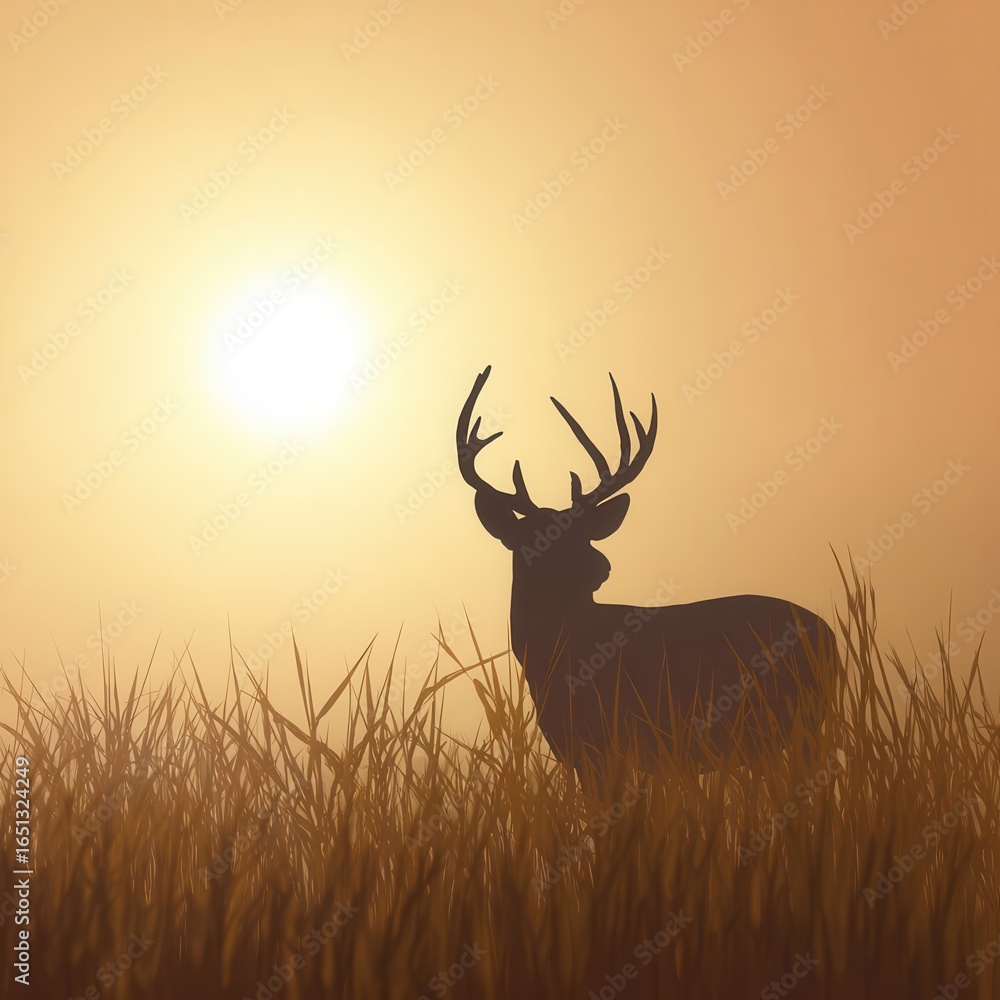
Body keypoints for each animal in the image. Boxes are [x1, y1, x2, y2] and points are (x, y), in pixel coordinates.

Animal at [456, 366, 839, 785]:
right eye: (541, 538)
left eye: (585, 533)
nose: (600, 567)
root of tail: (831, 634)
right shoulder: (576, 749)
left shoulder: (611, 740)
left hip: (792, 720)